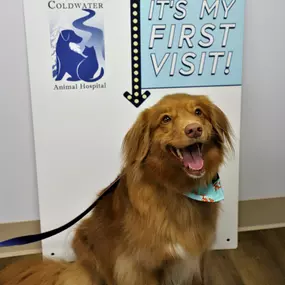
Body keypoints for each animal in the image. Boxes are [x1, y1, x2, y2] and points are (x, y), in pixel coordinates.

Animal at [0, 92, 231, 282]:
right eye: (166, 119)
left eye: (198, 112)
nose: (194, 129)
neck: (178, 189)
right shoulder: (141, 265)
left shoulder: (197, 257)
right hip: (84, 242)